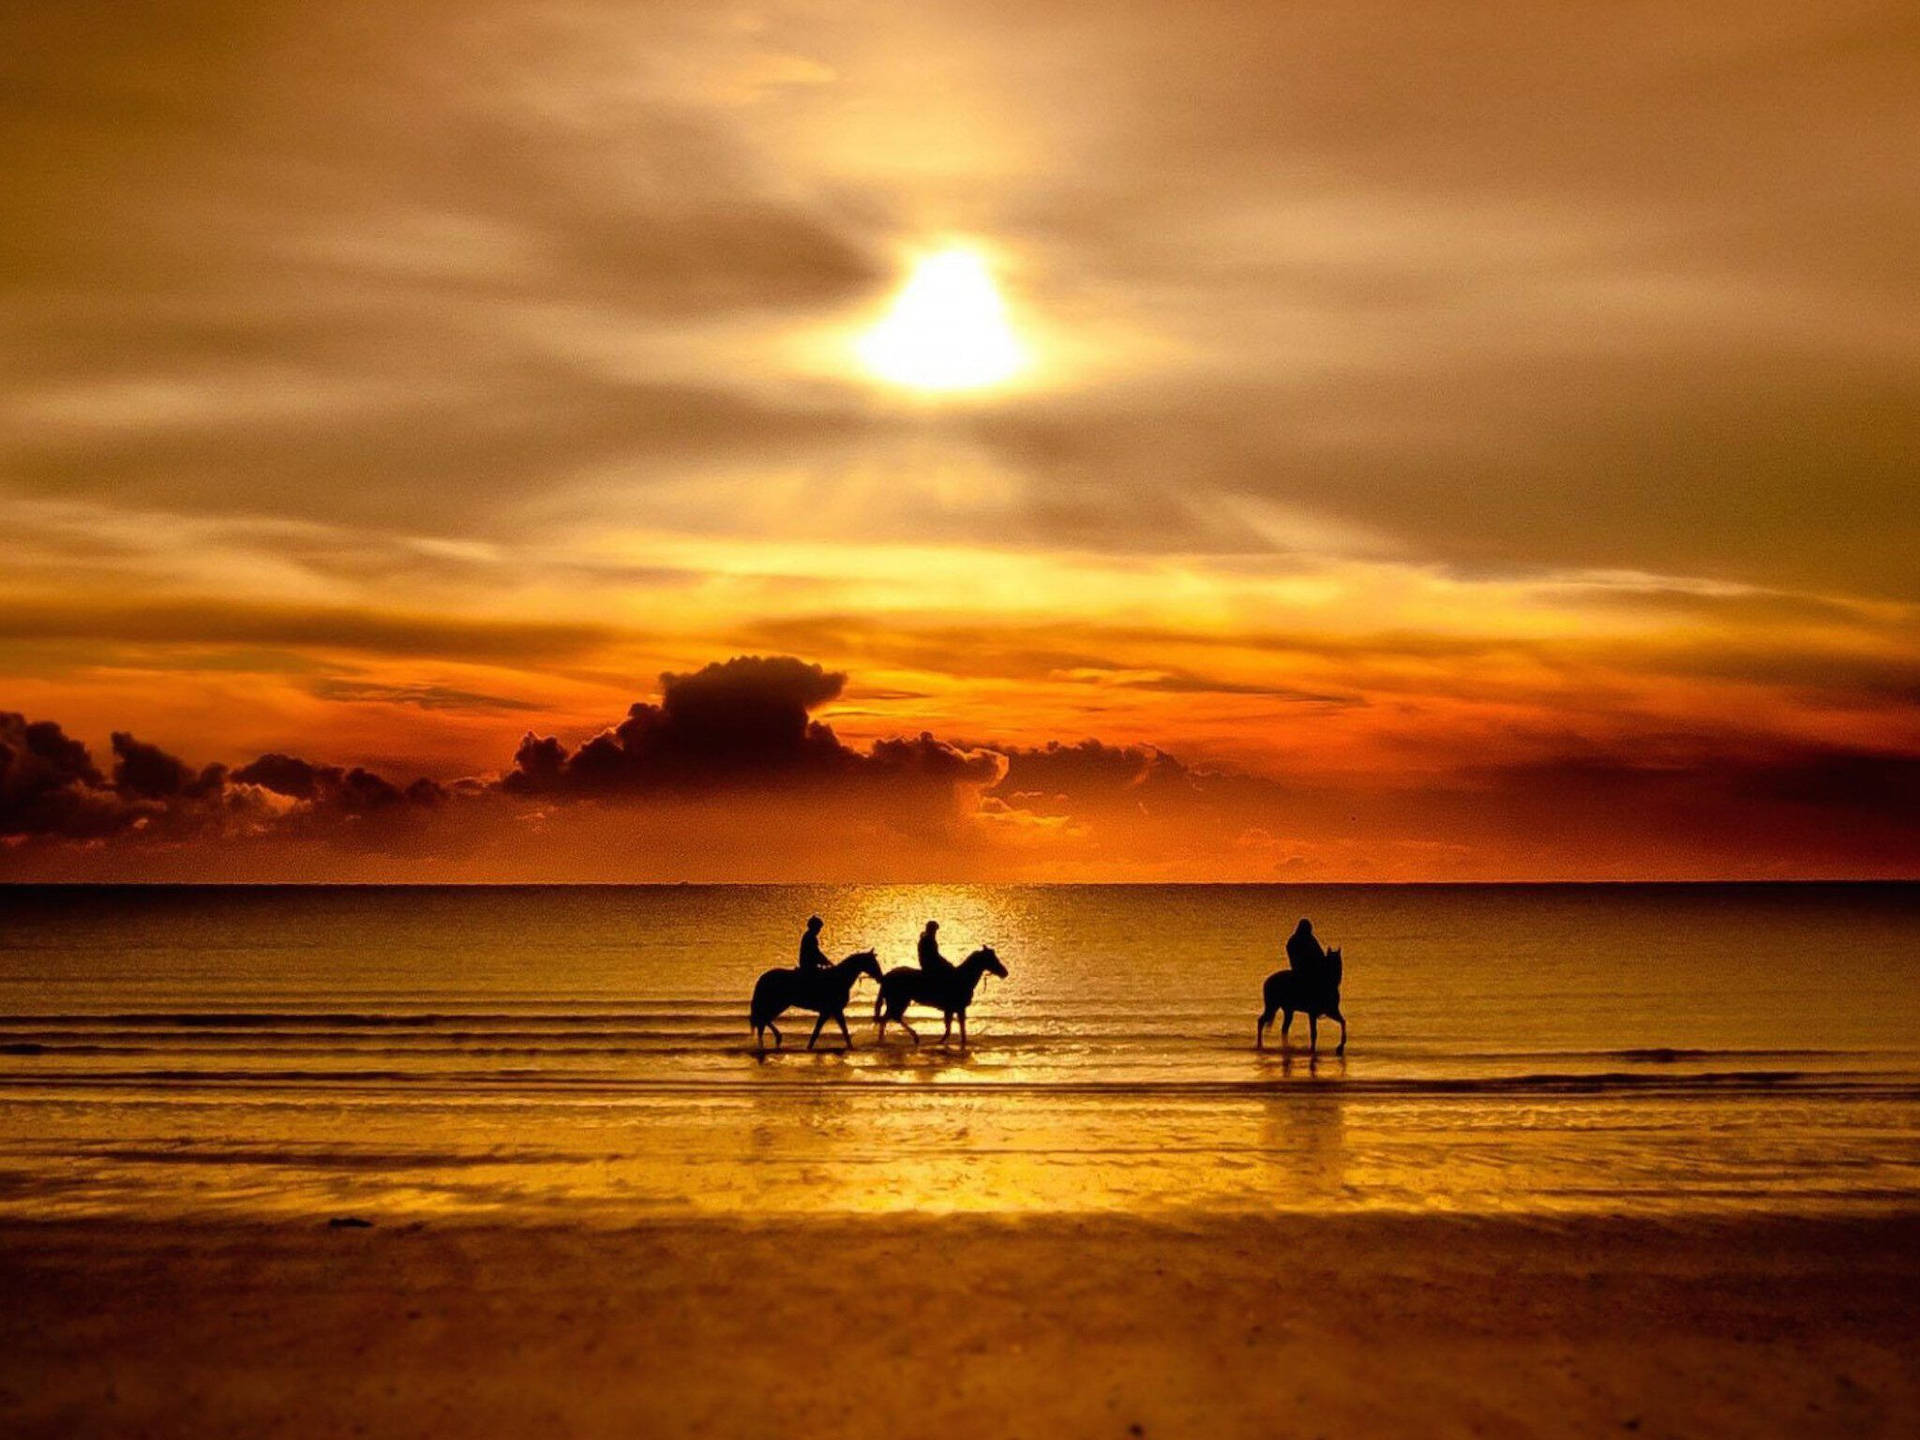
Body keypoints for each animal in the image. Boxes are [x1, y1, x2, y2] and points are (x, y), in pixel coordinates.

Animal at [748, 952, 883, 1052]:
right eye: (873, 962)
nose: (881, 977)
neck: (839, 978)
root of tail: (763, 977)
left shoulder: (829, 1011)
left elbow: (821, 1030)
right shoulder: (833, 1010)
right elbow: (839, 1030)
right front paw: (850, 1047)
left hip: (779, 1004)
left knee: (763, 1020)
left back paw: (770, 1041)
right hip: (778, 1003)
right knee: (763, 1019)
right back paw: (774, 1040)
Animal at [879, 948, 1013, 1052]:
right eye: (992, 959)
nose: (1005, 973)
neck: (963, 978)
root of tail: (886, 977)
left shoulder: (954, 1009)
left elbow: (956, 1029)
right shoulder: (956, 1008)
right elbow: (953, 1029)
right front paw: (941, 1042)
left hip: (897, 1001)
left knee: (887, 1018)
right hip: (899, 1001)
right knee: (891, 1017)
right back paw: (912, 1037)